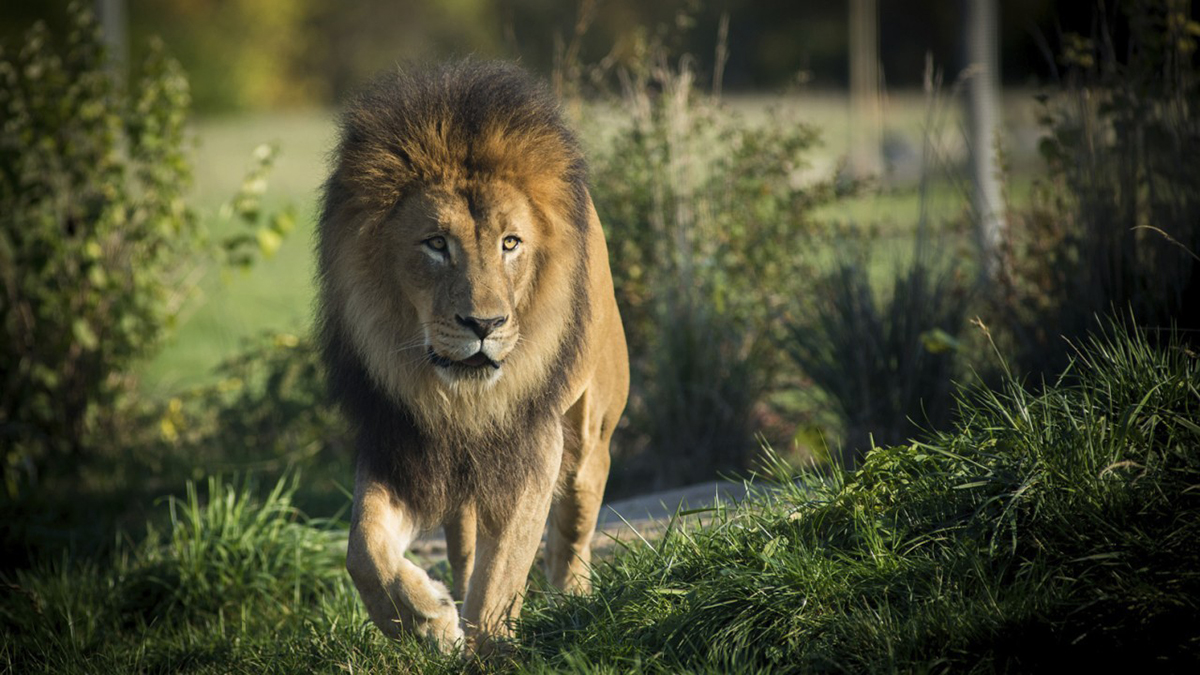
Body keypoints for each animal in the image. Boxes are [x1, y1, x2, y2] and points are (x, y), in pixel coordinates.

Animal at [314, 60, 633, 648]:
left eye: (511, 243)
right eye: (437, 243)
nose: (484, 325)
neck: (458, 399)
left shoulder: (534, 445)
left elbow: (501, 574)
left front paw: (487, 644)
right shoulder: (399, 441)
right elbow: (364, 549)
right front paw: (428, 622)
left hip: (588, 438)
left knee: (570, 538)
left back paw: (573, 604)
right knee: (464, 544)